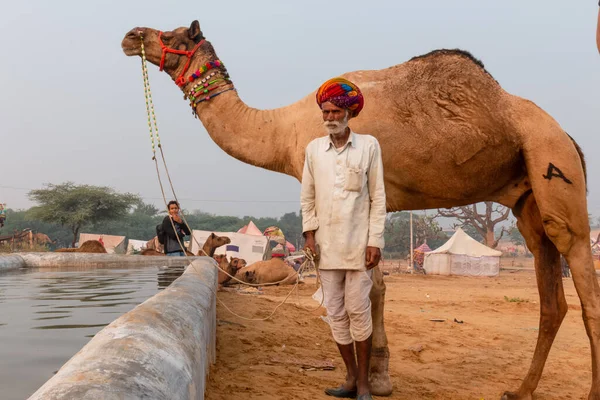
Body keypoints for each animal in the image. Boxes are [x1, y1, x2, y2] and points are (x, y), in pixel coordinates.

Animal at [122, 22, 596, 400]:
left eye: (172, 35)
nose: (131, 36)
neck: (282, 129)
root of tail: (568, 136)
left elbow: (371, 290)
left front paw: (377, 379)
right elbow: (376, 289)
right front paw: (376, 374)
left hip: (553, 162)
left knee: (579, 270)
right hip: (527, 196)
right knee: (551, 292)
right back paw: (521, 390)